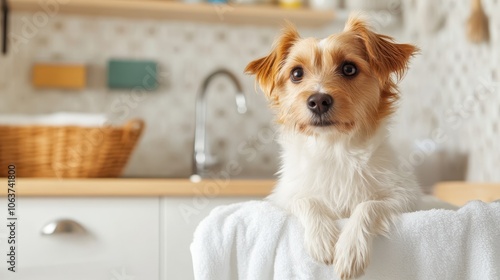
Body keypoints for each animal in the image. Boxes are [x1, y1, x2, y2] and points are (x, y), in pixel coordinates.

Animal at [246, 13, 422, 280]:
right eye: (297, 73)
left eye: (349, 68)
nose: (318, 101)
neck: (334, 149)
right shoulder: (282, 197)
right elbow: (306, 201)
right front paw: (322, 240)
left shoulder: (405, 196)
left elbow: (368, 205)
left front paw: (350, 250)